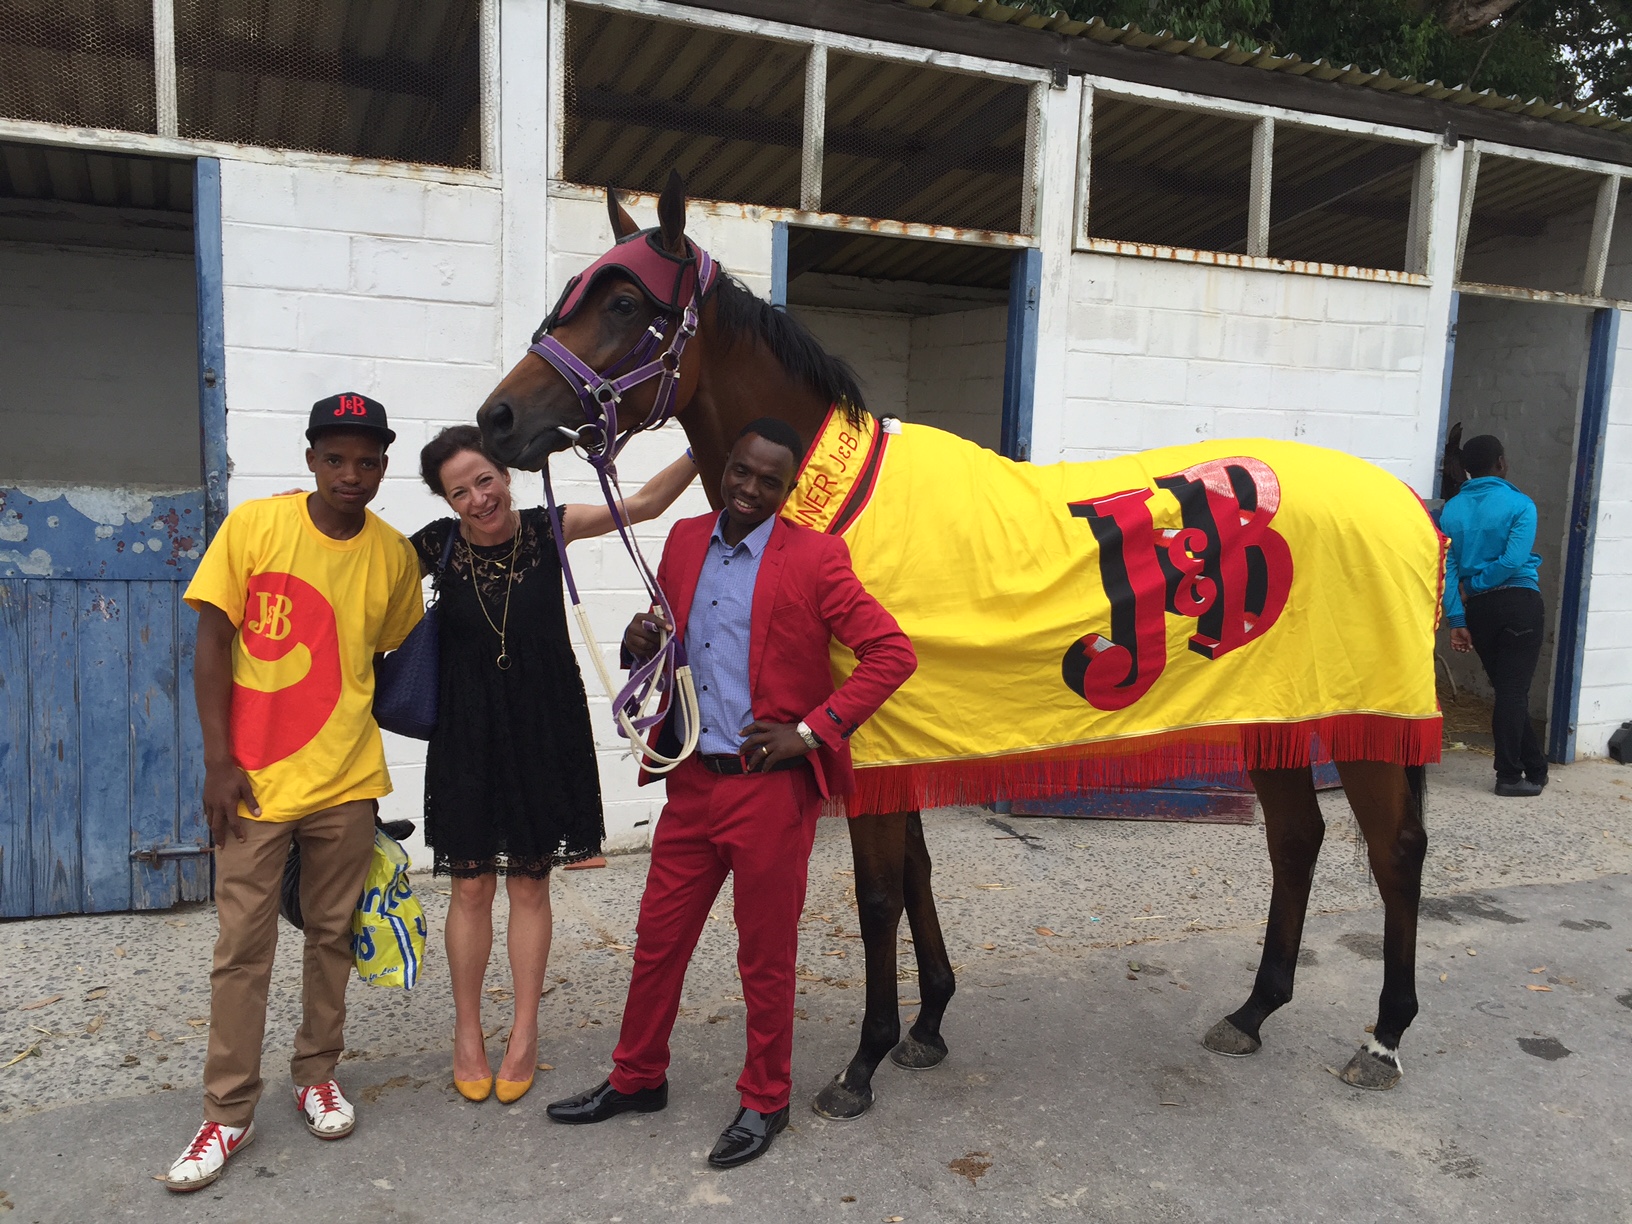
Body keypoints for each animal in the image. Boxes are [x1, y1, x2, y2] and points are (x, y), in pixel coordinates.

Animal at [476, 172, 1436, 1122]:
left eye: (625, 302)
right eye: (575, 291)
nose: (497, 417)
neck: (836, 502)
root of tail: (1408, 503)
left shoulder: (864, 741)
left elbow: (876, 895)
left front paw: (863, 1059)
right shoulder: (898, 747)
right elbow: (918, 876)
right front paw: (927, 1022)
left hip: (1366, 723)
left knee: (1392, 852)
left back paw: (1384, 1039)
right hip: (1278, 709)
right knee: (1298, 839)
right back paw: (1254, 1010)